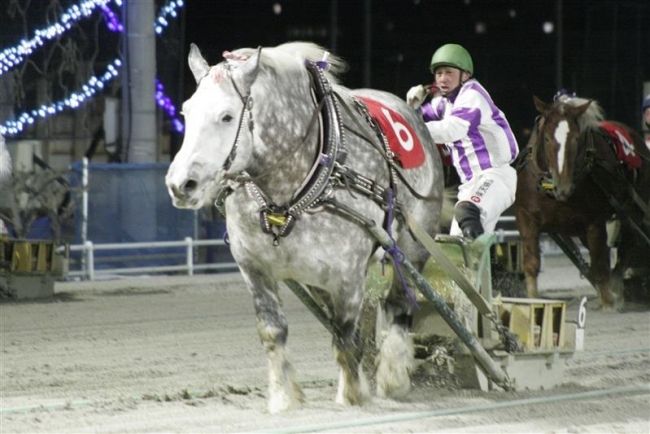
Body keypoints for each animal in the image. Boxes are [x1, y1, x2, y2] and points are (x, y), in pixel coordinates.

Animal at [165, 42, 442, 412]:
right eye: (186, 111)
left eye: (226, 116)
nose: (181, 184)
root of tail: (410, 110)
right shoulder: (254, 268)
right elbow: (273, 331)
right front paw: (284, 398)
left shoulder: (348, 275)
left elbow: (345, 337)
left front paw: (352, 397)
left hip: (411, 247)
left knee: (398, 305)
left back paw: (393, 378)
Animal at [512, 95, 648, 308]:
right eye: (547, 138)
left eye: (576, 139)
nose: (563, 187)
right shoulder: (526, 216)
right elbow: (531, 263)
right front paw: (533, 299)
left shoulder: (595, 221)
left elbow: (600, 264)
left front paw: (608, 302)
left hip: (632, 208)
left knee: (628, 244)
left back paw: (617, 288)